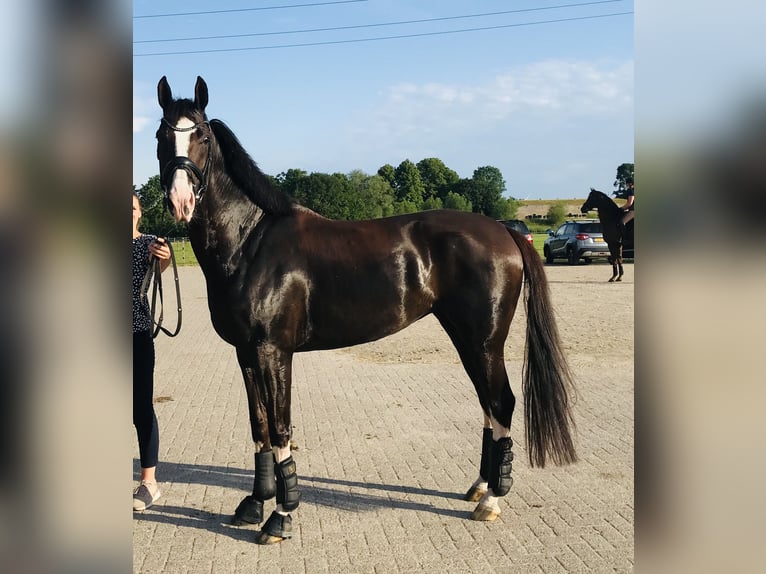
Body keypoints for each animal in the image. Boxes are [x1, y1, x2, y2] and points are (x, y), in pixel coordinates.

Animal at [156, 75, 576, 544]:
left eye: (202, 137)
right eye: (160, 136)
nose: (179, 199)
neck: (252, 243)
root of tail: (505, 231)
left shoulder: (273, 352)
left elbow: (281, 428)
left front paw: (281, 516)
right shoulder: (245, 353)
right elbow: (260, 426)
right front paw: (253, 505)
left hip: (485, 341)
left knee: (501, 402)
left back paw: (492, 500)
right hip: (465, 339)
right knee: (488, 405)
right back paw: (480, 486)